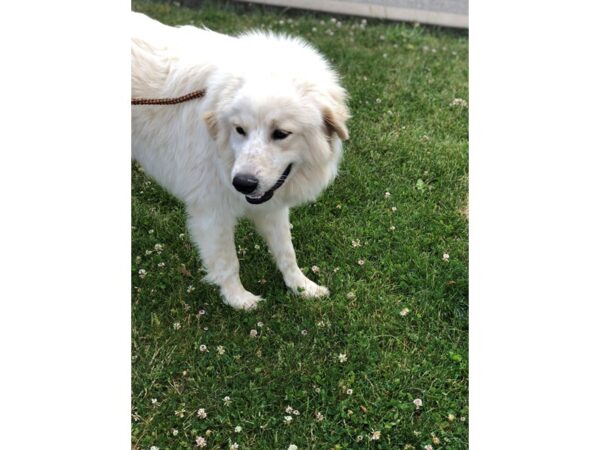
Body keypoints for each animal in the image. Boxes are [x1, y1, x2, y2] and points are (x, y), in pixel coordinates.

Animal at [129, 13, 350, 310]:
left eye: (281, 133)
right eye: (240, 130)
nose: (243, 184)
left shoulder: (271, 203)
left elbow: (286, 250)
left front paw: (301, 286)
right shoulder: (212, 210)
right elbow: (228, 261)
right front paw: (238, 299)